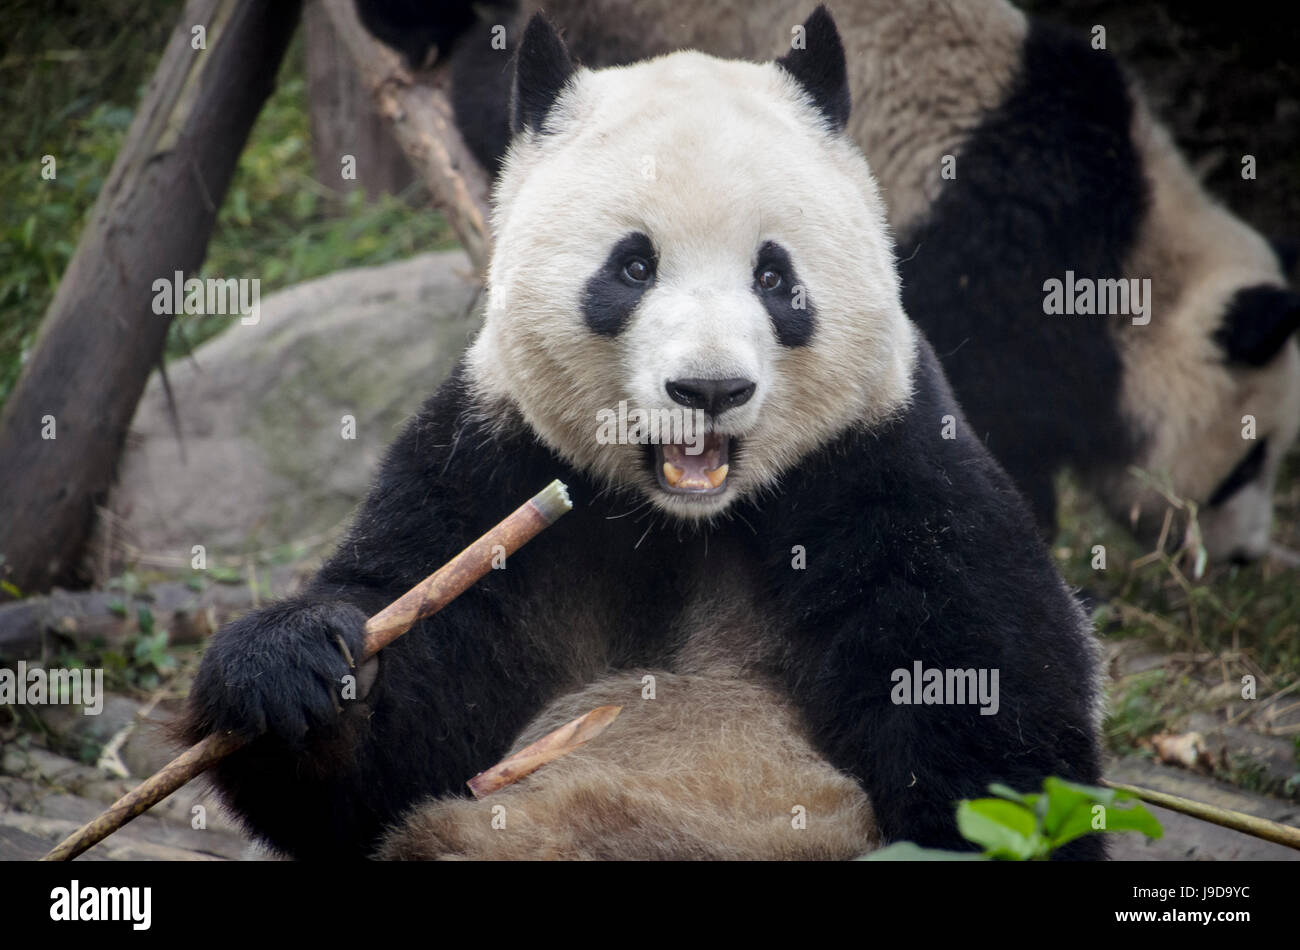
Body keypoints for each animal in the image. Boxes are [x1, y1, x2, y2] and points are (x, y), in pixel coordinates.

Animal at [180, 5, 1107, 862]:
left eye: (776, 277)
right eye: (633, 266)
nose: (710, 389)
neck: (682, 523)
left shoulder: (889, 471)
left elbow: (986, 721)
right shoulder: (490, 464)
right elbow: (388, 759)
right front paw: (298, 665)